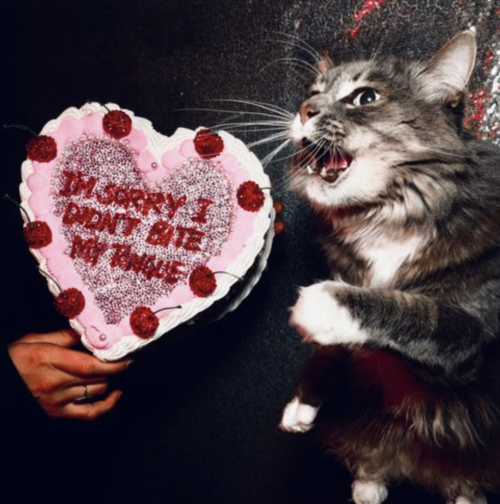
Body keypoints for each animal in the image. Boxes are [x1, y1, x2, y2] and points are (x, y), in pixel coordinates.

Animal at [279, 31, 500, 504]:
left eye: (366, 97)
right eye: (312, 92)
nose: (305, 111)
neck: (392, 211)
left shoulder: (470, 335)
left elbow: (407, 309)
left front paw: (322, 306)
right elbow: (328, 352)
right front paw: (303, 403)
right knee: (370, 473)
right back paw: (369, 485)